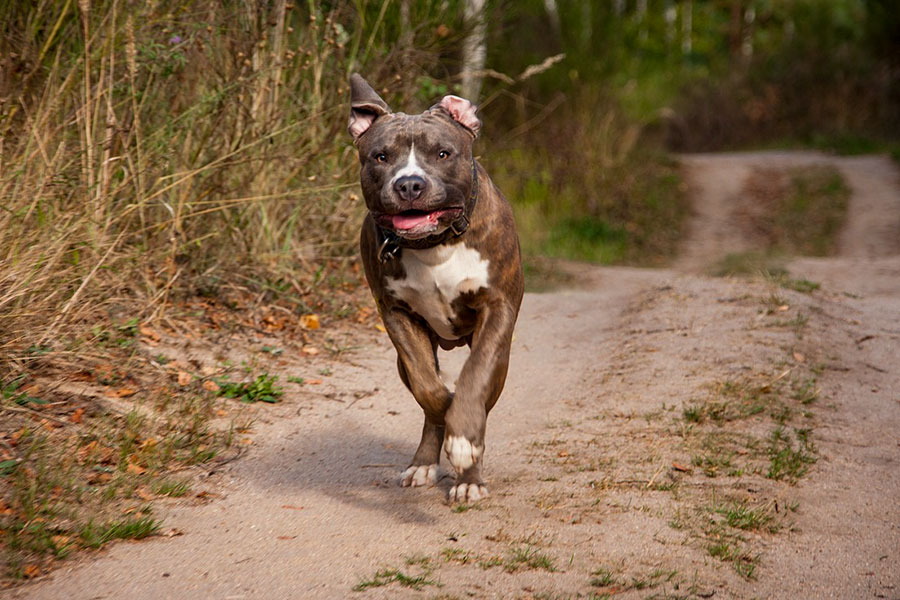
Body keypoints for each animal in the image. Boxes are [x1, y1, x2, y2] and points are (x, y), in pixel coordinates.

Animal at [348, 76, 524, 506]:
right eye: (381, 157)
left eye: (443, 153)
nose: (410, 183)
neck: (434, 245)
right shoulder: (396, 315)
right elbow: (429, 388)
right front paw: (446, 410)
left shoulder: (497, 309)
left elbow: (474, 379)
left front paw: (464, 440)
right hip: (404, 358)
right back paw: (425, 461)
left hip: (503, 359)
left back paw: (469, 475)